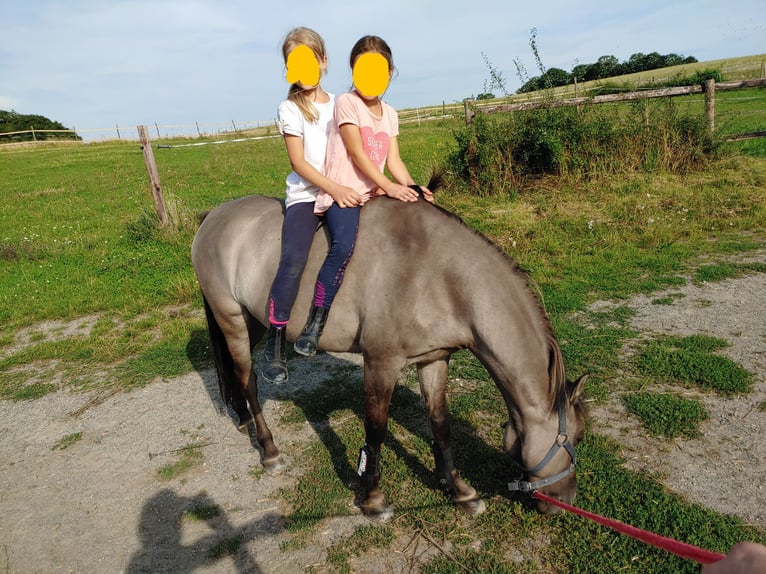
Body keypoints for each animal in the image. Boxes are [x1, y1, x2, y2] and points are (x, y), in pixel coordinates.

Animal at [192, 186, 588, 520]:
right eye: (579, 437)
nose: (567, 499)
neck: (438, 275)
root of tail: (214, 215)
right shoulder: (381, 363)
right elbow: (376, 430)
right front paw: (373, 499)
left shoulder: (434, 358)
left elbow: (440, 423)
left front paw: (459, 491)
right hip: (232, 320)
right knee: (248, 379)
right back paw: (270, 451)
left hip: (255, 321)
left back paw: (244, 419)